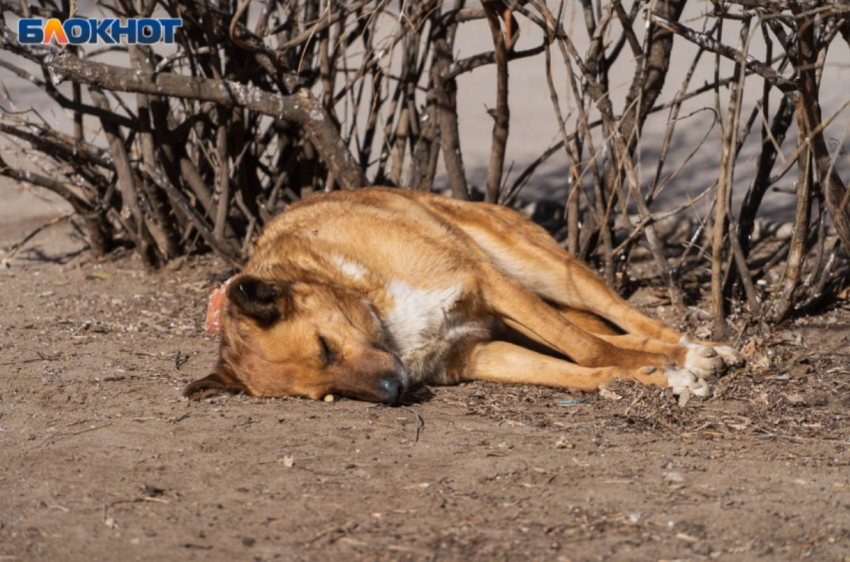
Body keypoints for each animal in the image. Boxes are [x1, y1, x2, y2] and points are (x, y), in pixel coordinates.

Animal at [184, 188, 736, 402]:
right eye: (329, 394)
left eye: (325, 346)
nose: (394, 391)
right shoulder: (478, 354)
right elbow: (581, 369)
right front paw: (653, 378)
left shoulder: (485, 283)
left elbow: (588, 349)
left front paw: (672, 368)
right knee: (603, 332)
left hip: (541, 272)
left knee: (624, 319)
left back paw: (694, 347)